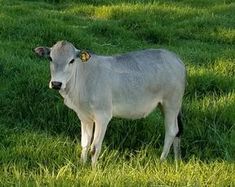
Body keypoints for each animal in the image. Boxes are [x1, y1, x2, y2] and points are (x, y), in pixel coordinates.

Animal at [34, 40, 185, 167]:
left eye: (71, 61)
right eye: (50, 58)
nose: (56, 83)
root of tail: (177, 59)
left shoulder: (103, 116)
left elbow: (94, 147)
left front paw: (93, 170)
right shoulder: (84, 116)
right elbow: (85, 144)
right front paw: (82, 165)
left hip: (171, 103)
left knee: (172, 131)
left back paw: (162, 159)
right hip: (165, 105)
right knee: (178, 131)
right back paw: (177, 159)